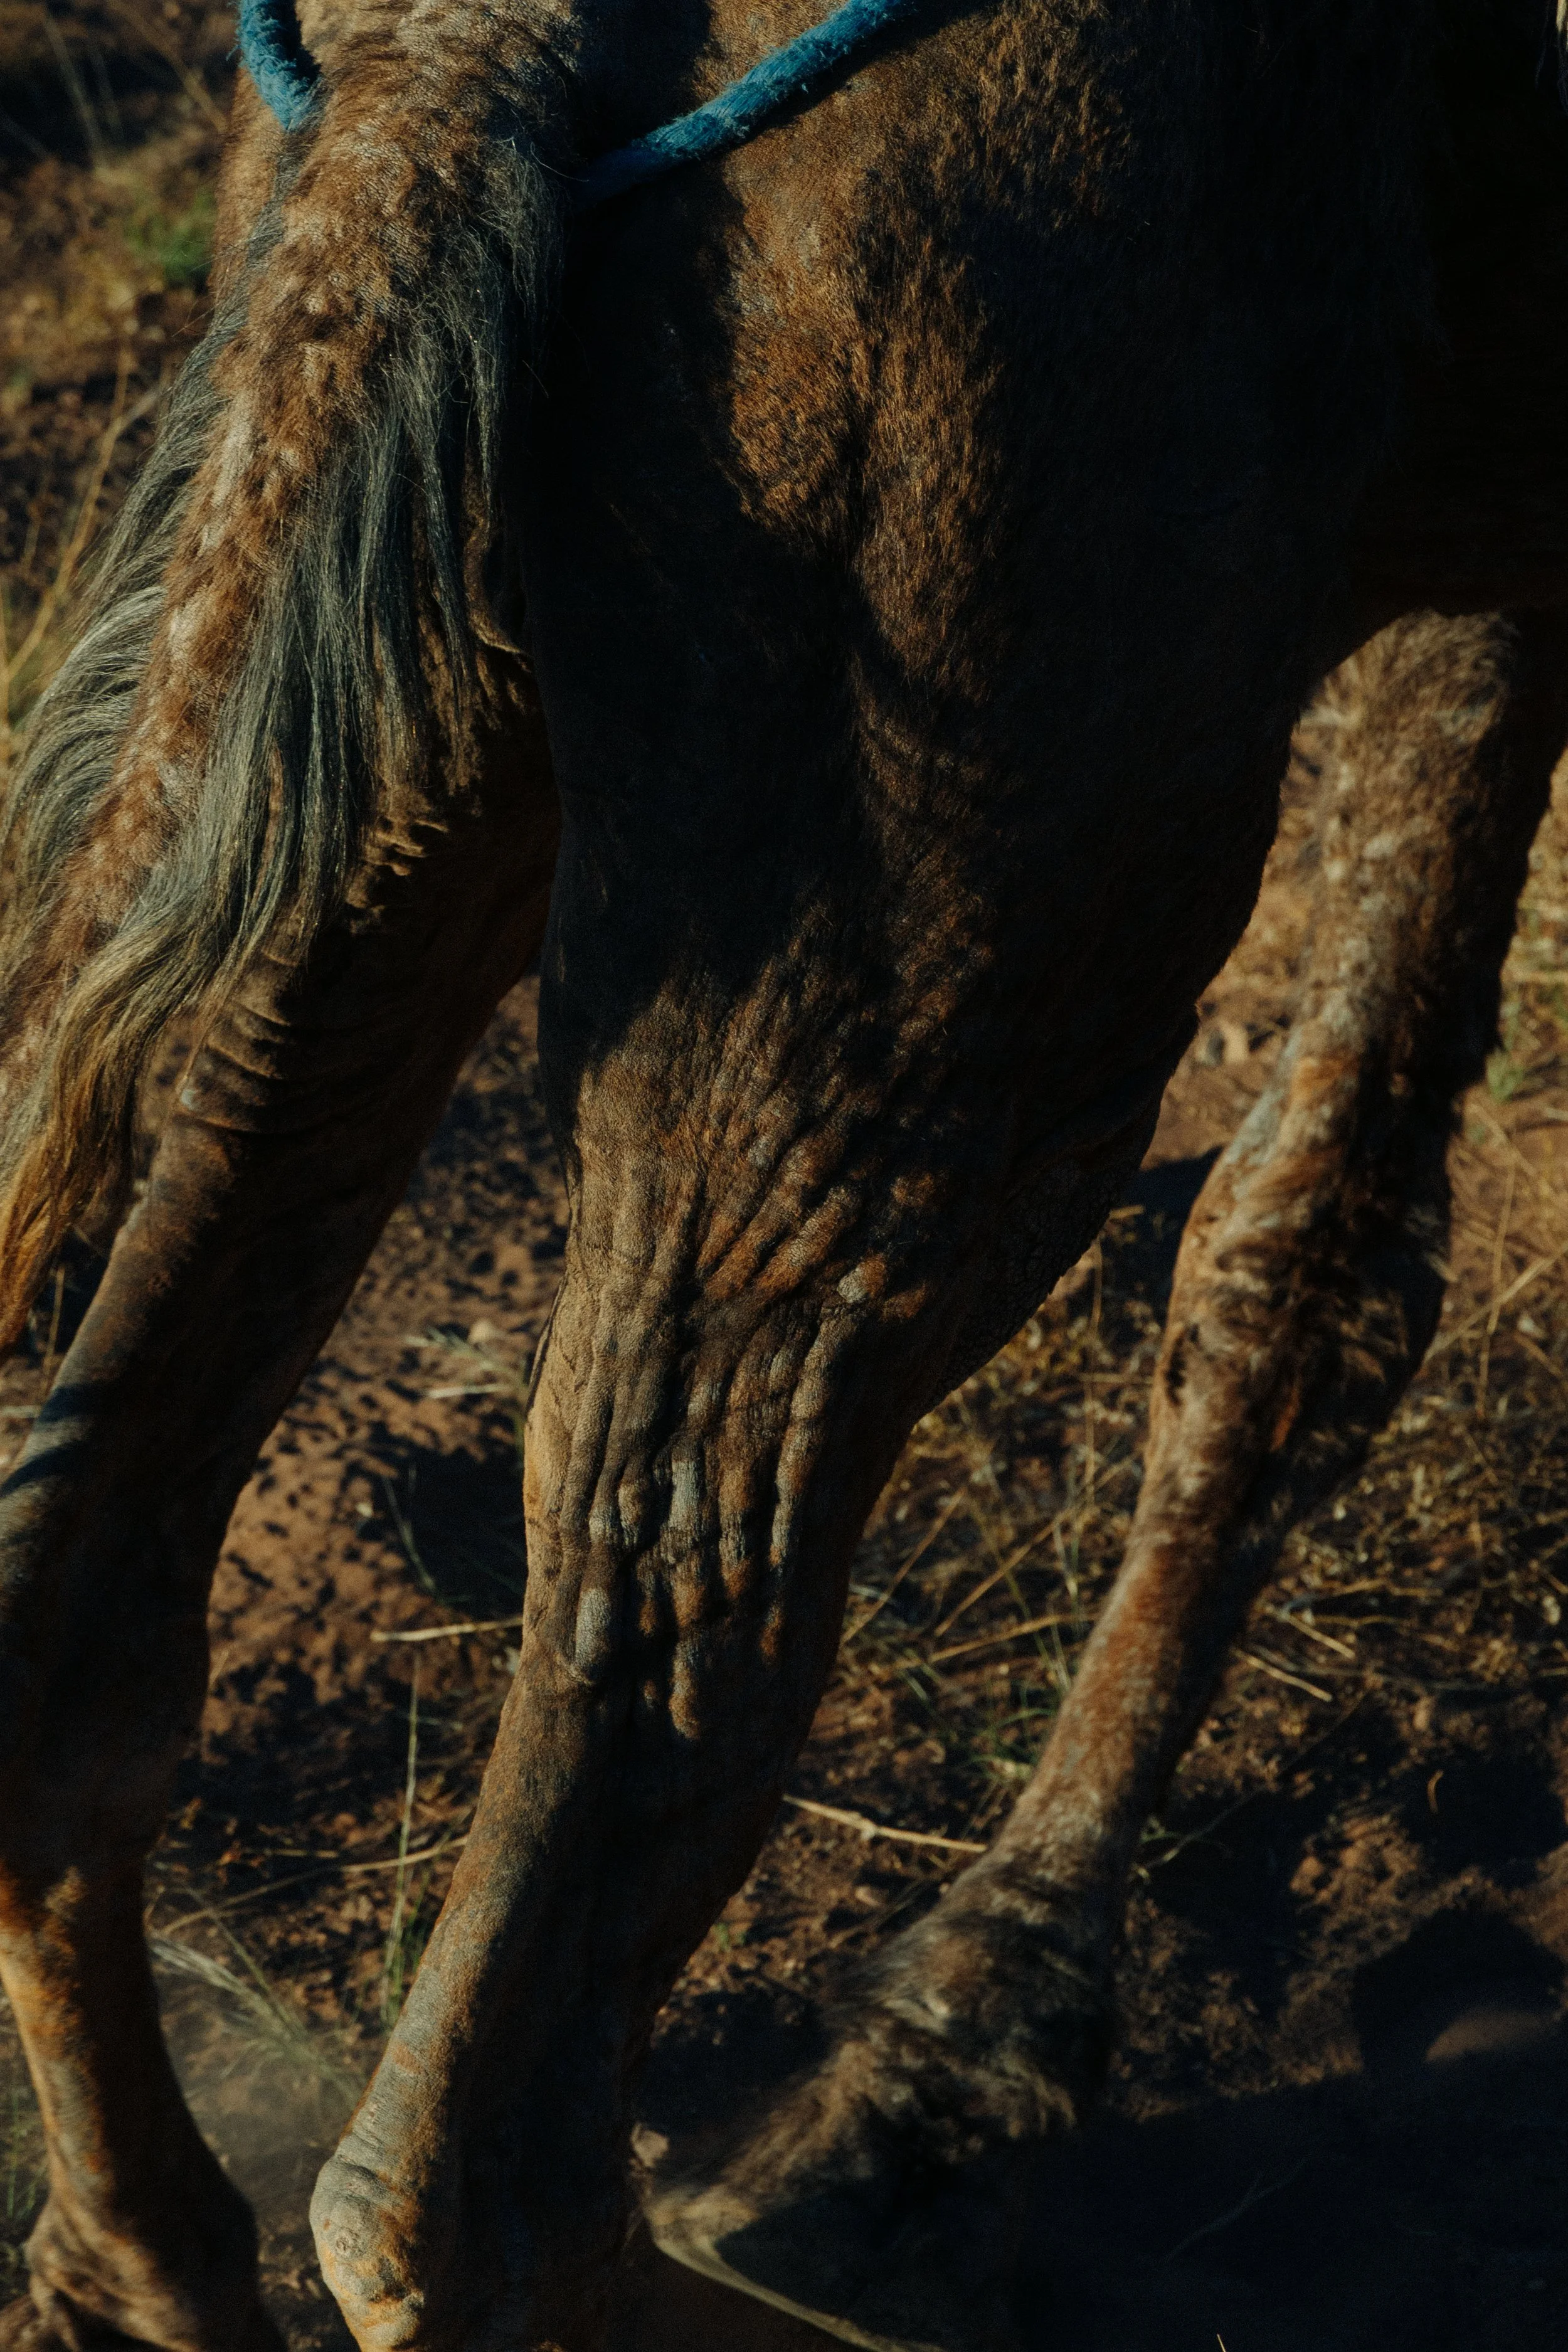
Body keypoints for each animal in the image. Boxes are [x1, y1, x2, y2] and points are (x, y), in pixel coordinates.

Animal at [1, 2, 1566, 2346]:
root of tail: (477, 52)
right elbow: (1307, 1247)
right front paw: (935, 2087)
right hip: (972, 914)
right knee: (627, 1692)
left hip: (406, 760)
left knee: (84, 1599)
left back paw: (147, 2273)